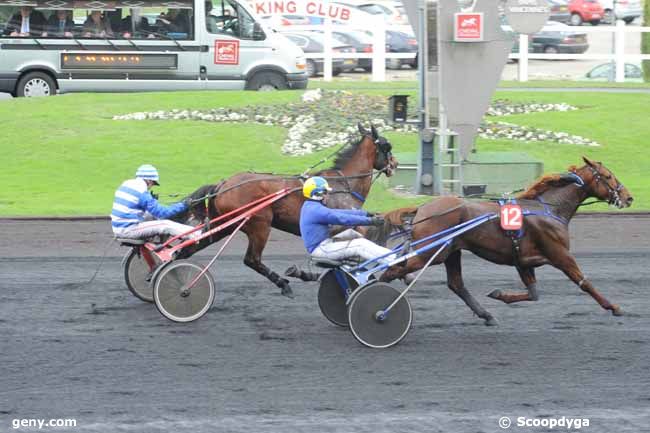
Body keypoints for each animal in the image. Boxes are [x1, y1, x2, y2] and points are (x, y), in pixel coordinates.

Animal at [180, 121, 398, 296]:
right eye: (387, 146)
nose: (395, 163)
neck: (344, 184)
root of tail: (223, 184)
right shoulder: (342, 225)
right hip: (260, 224)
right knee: (252, 259)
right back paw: (283, 283)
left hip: (226, 225)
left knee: (193, 246)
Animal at [380, 157, 632, 326]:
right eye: (608, 176)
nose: (628, 197)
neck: (549, 208)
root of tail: (422, 207)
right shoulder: (560, 255)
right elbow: (584, 283)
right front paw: (614, 307)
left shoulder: (523, 260)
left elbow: (533, 293)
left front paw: (499, 294)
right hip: (429, 253)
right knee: (392, 270)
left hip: (450, 251)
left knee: (456, 284)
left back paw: (487, 315)